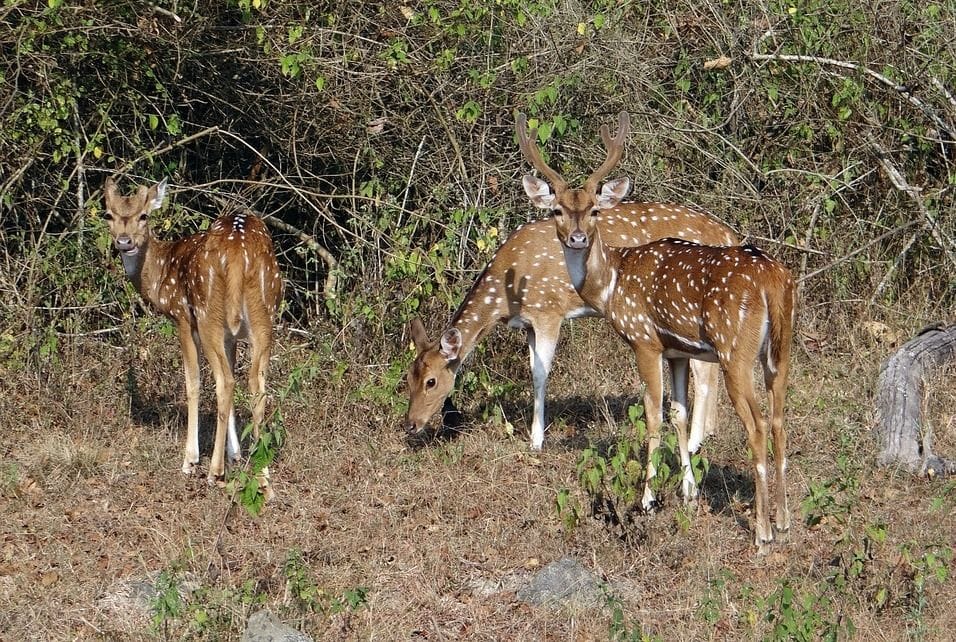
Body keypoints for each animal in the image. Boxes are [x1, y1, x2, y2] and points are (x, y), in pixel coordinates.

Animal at [103, 176, 283, 498]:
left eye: (143, 215)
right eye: (108, 215)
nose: (124, 242)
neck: (158, 279)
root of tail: (239, 253)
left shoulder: (182, 318)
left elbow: (193, 383)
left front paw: (191, 460)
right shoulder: (231, 337)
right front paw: (235, 454)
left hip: (207, 313)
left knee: (225, 382)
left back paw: (214, 472)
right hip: (265, 314)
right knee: (255, 385)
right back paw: (263, 478)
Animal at [405, 129, 739, 453]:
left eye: (431, 381)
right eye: (408, 378)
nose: (410, 424)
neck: (506, 294)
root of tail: (728, 234)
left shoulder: (548, 311)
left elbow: (540, 373)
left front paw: (537, 441)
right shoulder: (529, 324)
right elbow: (532, 367)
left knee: (703, 371)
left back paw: (695, 442)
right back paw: (707, 433)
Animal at [517, 112, 794, 553]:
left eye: (594, 210)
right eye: (558, 210)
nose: (577, 238)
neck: (611, 284)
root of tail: (772, 279)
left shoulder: (644, 340)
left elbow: (652, 414)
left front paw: (647, 499)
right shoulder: (677, 350)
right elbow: (679, 413)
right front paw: (689, 491)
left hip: (735, 350)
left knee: (758, 425)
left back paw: (762, 532)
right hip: (781, 350)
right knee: (781, 418)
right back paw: (784, 521)